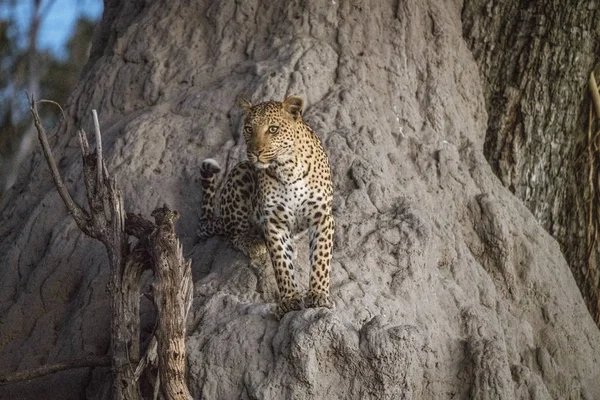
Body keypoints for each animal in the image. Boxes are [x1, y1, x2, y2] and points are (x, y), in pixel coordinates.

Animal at [199, 95, 336, 314]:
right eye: (248, 129)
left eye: (273, 129)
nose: (255, 152)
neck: (288, 168)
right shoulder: (274, 221)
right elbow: (281, 263)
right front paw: (290, 299)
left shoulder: (321, 216)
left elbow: (321, 259)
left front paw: (318, 295)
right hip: (240, 172)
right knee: (234, 234)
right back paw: (254, 243)